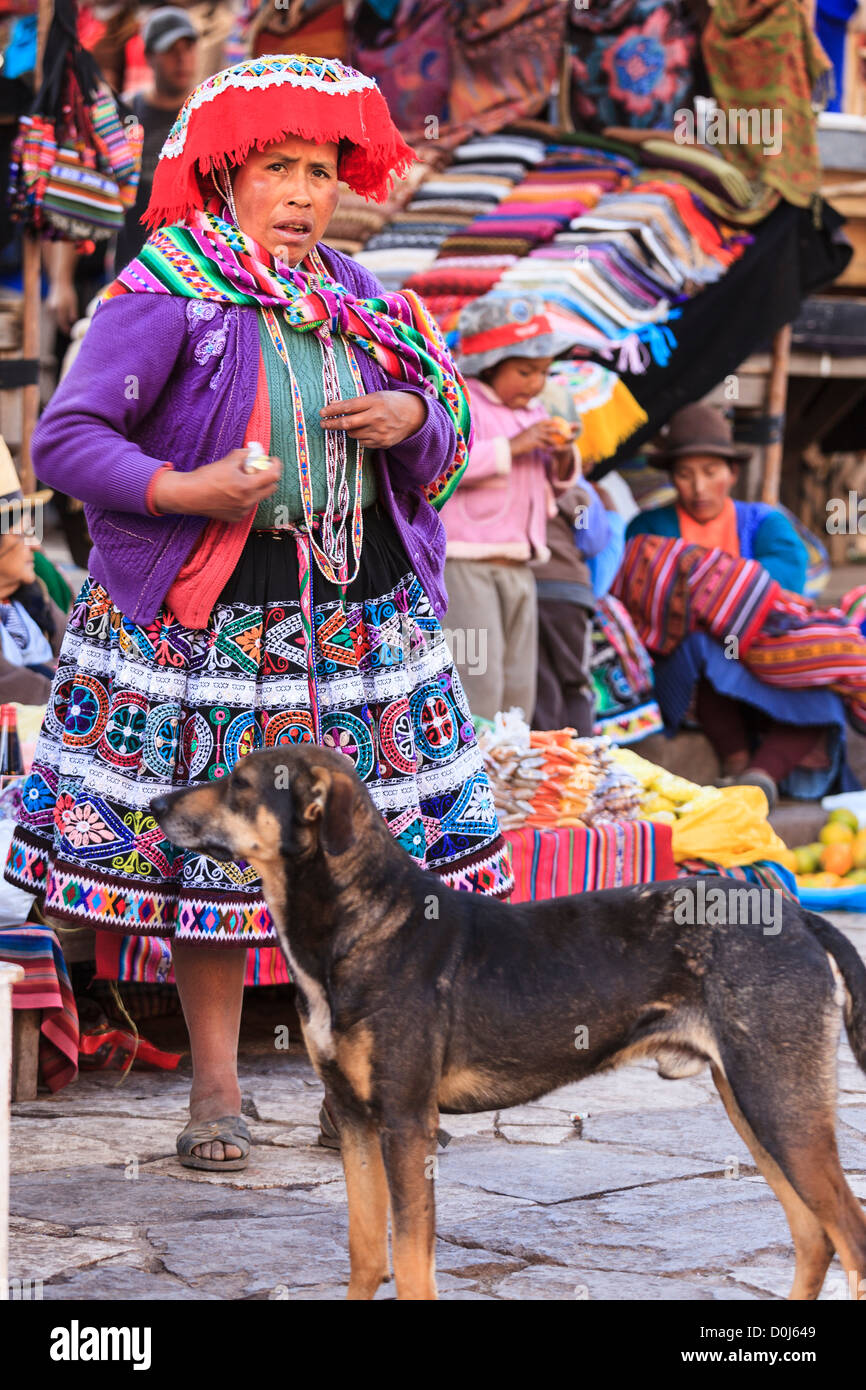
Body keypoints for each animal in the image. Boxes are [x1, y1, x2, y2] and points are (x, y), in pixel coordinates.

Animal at [152, 750, 866, 1301]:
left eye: (242, 785)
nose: (156, 805)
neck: (359, 923)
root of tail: (798, 916)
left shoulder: (406, 1122)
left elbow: (411, 1265)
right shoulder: (354, 1119)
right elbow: (365, 1253)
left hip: (779, 1100)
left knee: (847, 1234)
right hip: (753, 1103)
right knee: (814, 1238)